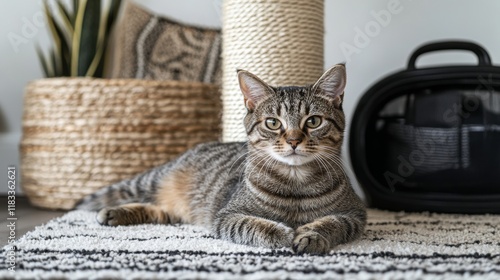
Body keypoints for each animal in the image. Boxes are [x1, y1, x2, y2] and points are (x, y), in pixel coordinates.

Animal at [78, 64, 368, 254]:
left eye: (314, 121)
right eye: (273, 123)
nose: (294, 140)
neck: (296, 182)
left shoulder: (355, 214)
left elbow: (332, 223)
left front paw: (310, 235)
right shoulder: (227, 215)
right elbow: (252, 224)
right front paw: (281, 233)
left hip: (176, 210)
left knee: (161, 211)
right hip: (152, 181)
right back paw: (111, 211)